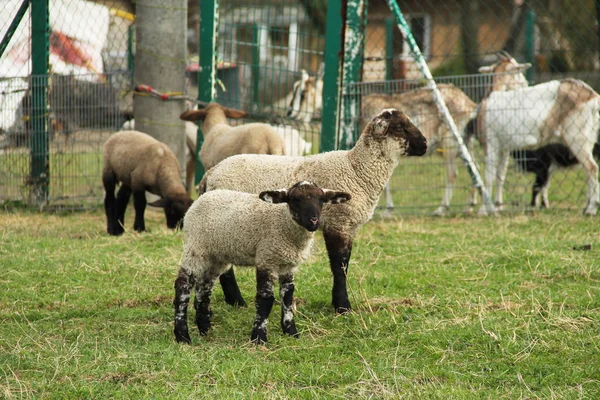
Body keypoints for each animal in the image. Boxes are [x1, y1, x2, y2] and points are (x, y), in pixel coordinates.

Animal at [172, 181, 352, 344]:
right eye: (294, 199)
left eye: (321, 199)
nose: (313, 220)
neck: (285, 224)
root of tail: (201, 198)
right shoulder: (267, 258)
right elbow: (265, 300)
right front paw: (259, 338)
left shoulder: (287, 265)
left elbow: (288, 297)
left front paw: (291, 332)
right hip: (196, 247)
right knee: (183, 286)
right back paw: (182, 336)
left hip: (216, 256)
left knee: (204, 289)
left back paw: (205, 329)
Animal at [190, 108, 428, 312]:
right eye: (400, 127)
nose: (425, 144)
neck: (356, 169)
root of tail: (209, 175)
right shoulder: (337, 223)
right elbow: (339, 266)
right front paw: (343, 306)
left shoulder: (348, 227)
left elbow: (345, 264)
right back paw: (237, 301)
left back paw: (235, 301)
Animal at [474, 53, 600, 216]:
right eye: (519, 73)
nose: (525, 84)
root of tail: (593, 96)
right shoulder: (504, 149)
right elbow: (499, 175)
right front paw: (497, 206)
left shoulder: (491, 144)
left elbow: (489, 176)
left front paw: (484, 210)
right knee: (588, 170)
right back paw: (587, 207)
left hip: (577, 139)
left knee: (592, 168)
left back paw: (591, 209)